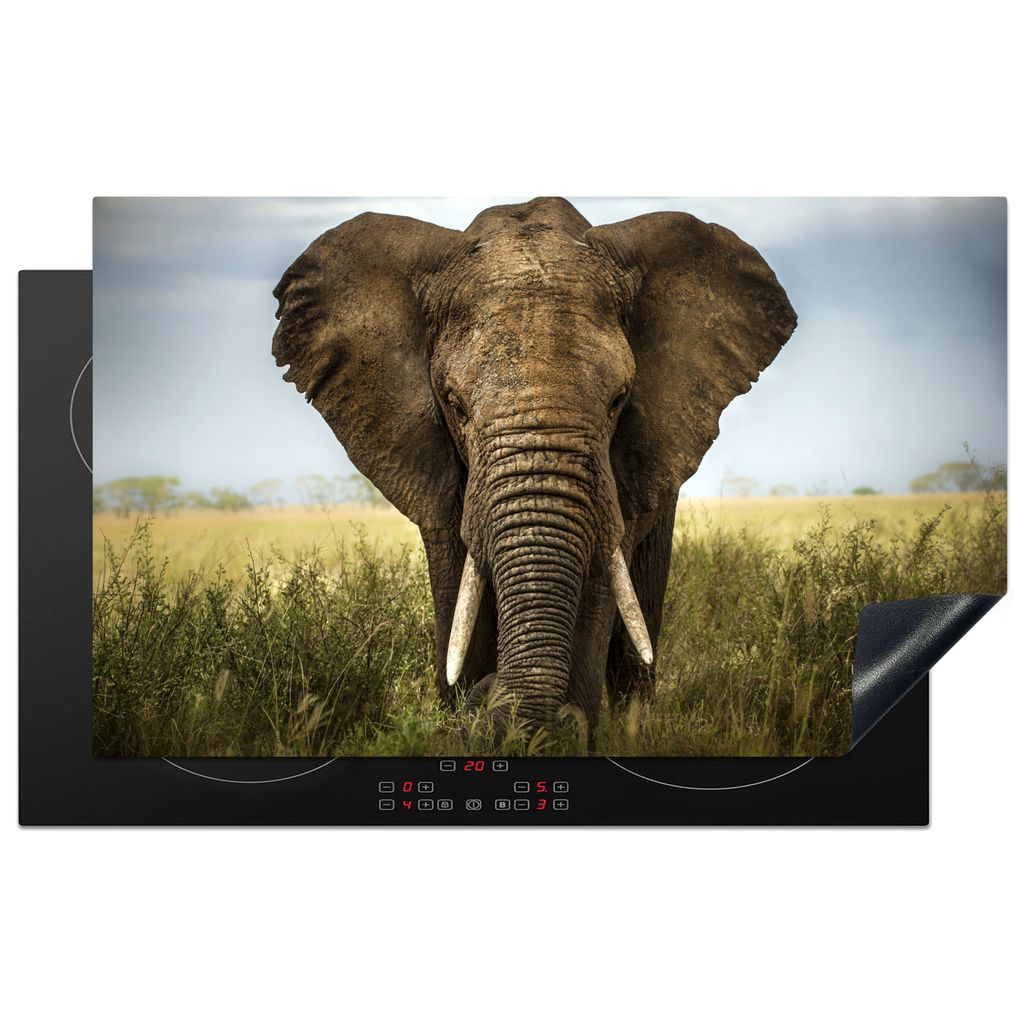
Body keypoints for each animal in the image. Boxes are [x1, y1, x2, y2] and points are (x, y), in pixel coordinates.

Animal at [272, 197, 796, 746]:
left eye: (619, 400)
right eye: (454, 404)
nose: (488, 695)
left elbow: (597, 586)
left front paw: (568, 732)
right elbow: (458, 590)